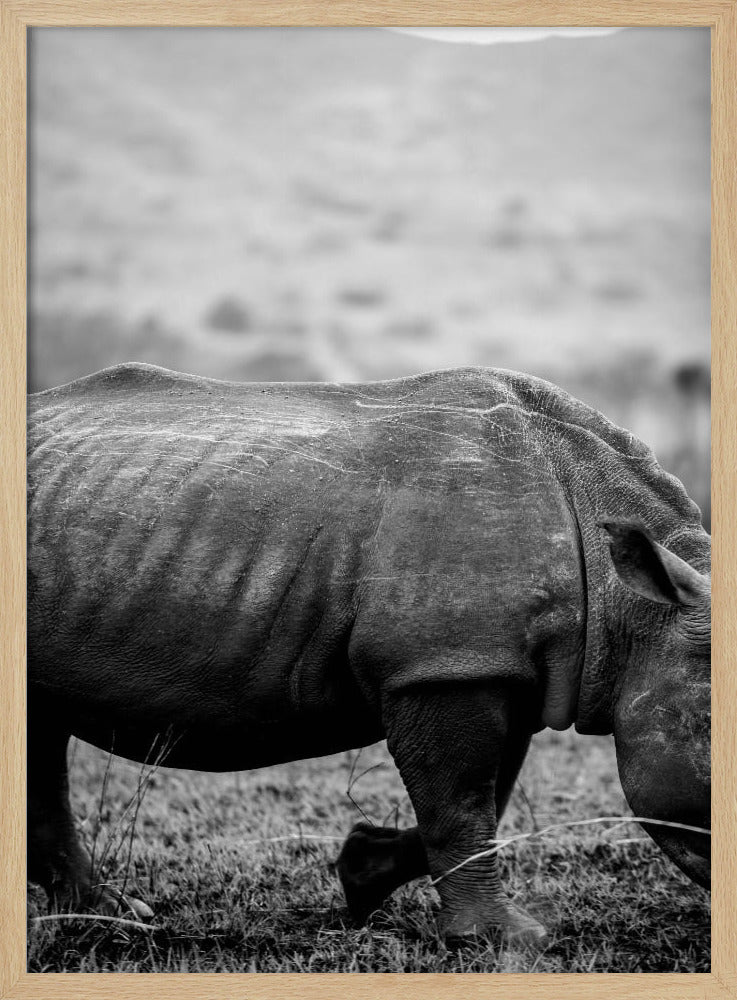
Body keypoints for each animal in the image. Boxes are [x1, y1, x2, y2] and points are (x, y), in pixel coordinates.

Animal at [27, 363, 710, 943]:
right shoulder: (442, 665)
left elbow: (486, 792)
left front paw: (363, 874)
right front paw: (504, 940)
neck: (635, 610)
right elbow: (462, 800)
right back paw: (110, 915)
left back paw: (104, 912)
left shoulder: (491, 664)